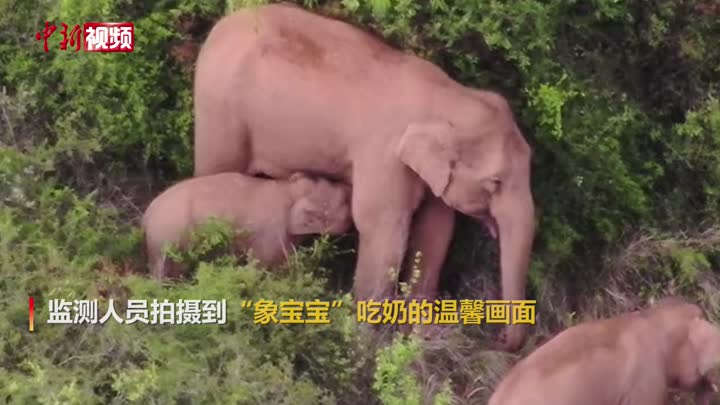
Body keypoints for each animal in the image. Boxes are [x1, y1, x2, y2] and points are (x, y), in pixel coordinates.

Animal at [141, 172, 353, 279]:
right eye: (344, 200)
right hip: (169, 236)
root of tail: (146, 214)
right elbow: (266, 264)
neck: (288, 190)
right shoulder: (272, 233)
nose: (350, 185)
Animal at [193, 3, 536, 351]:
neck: (448, 96)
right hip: (219, 113)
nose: (499, 337)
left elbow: (435, 230)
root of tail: (218, 29)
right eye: (495, 183)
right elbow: (383, 229)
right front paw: (365, 346)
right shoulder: (382, 154)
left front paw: (417, 339)